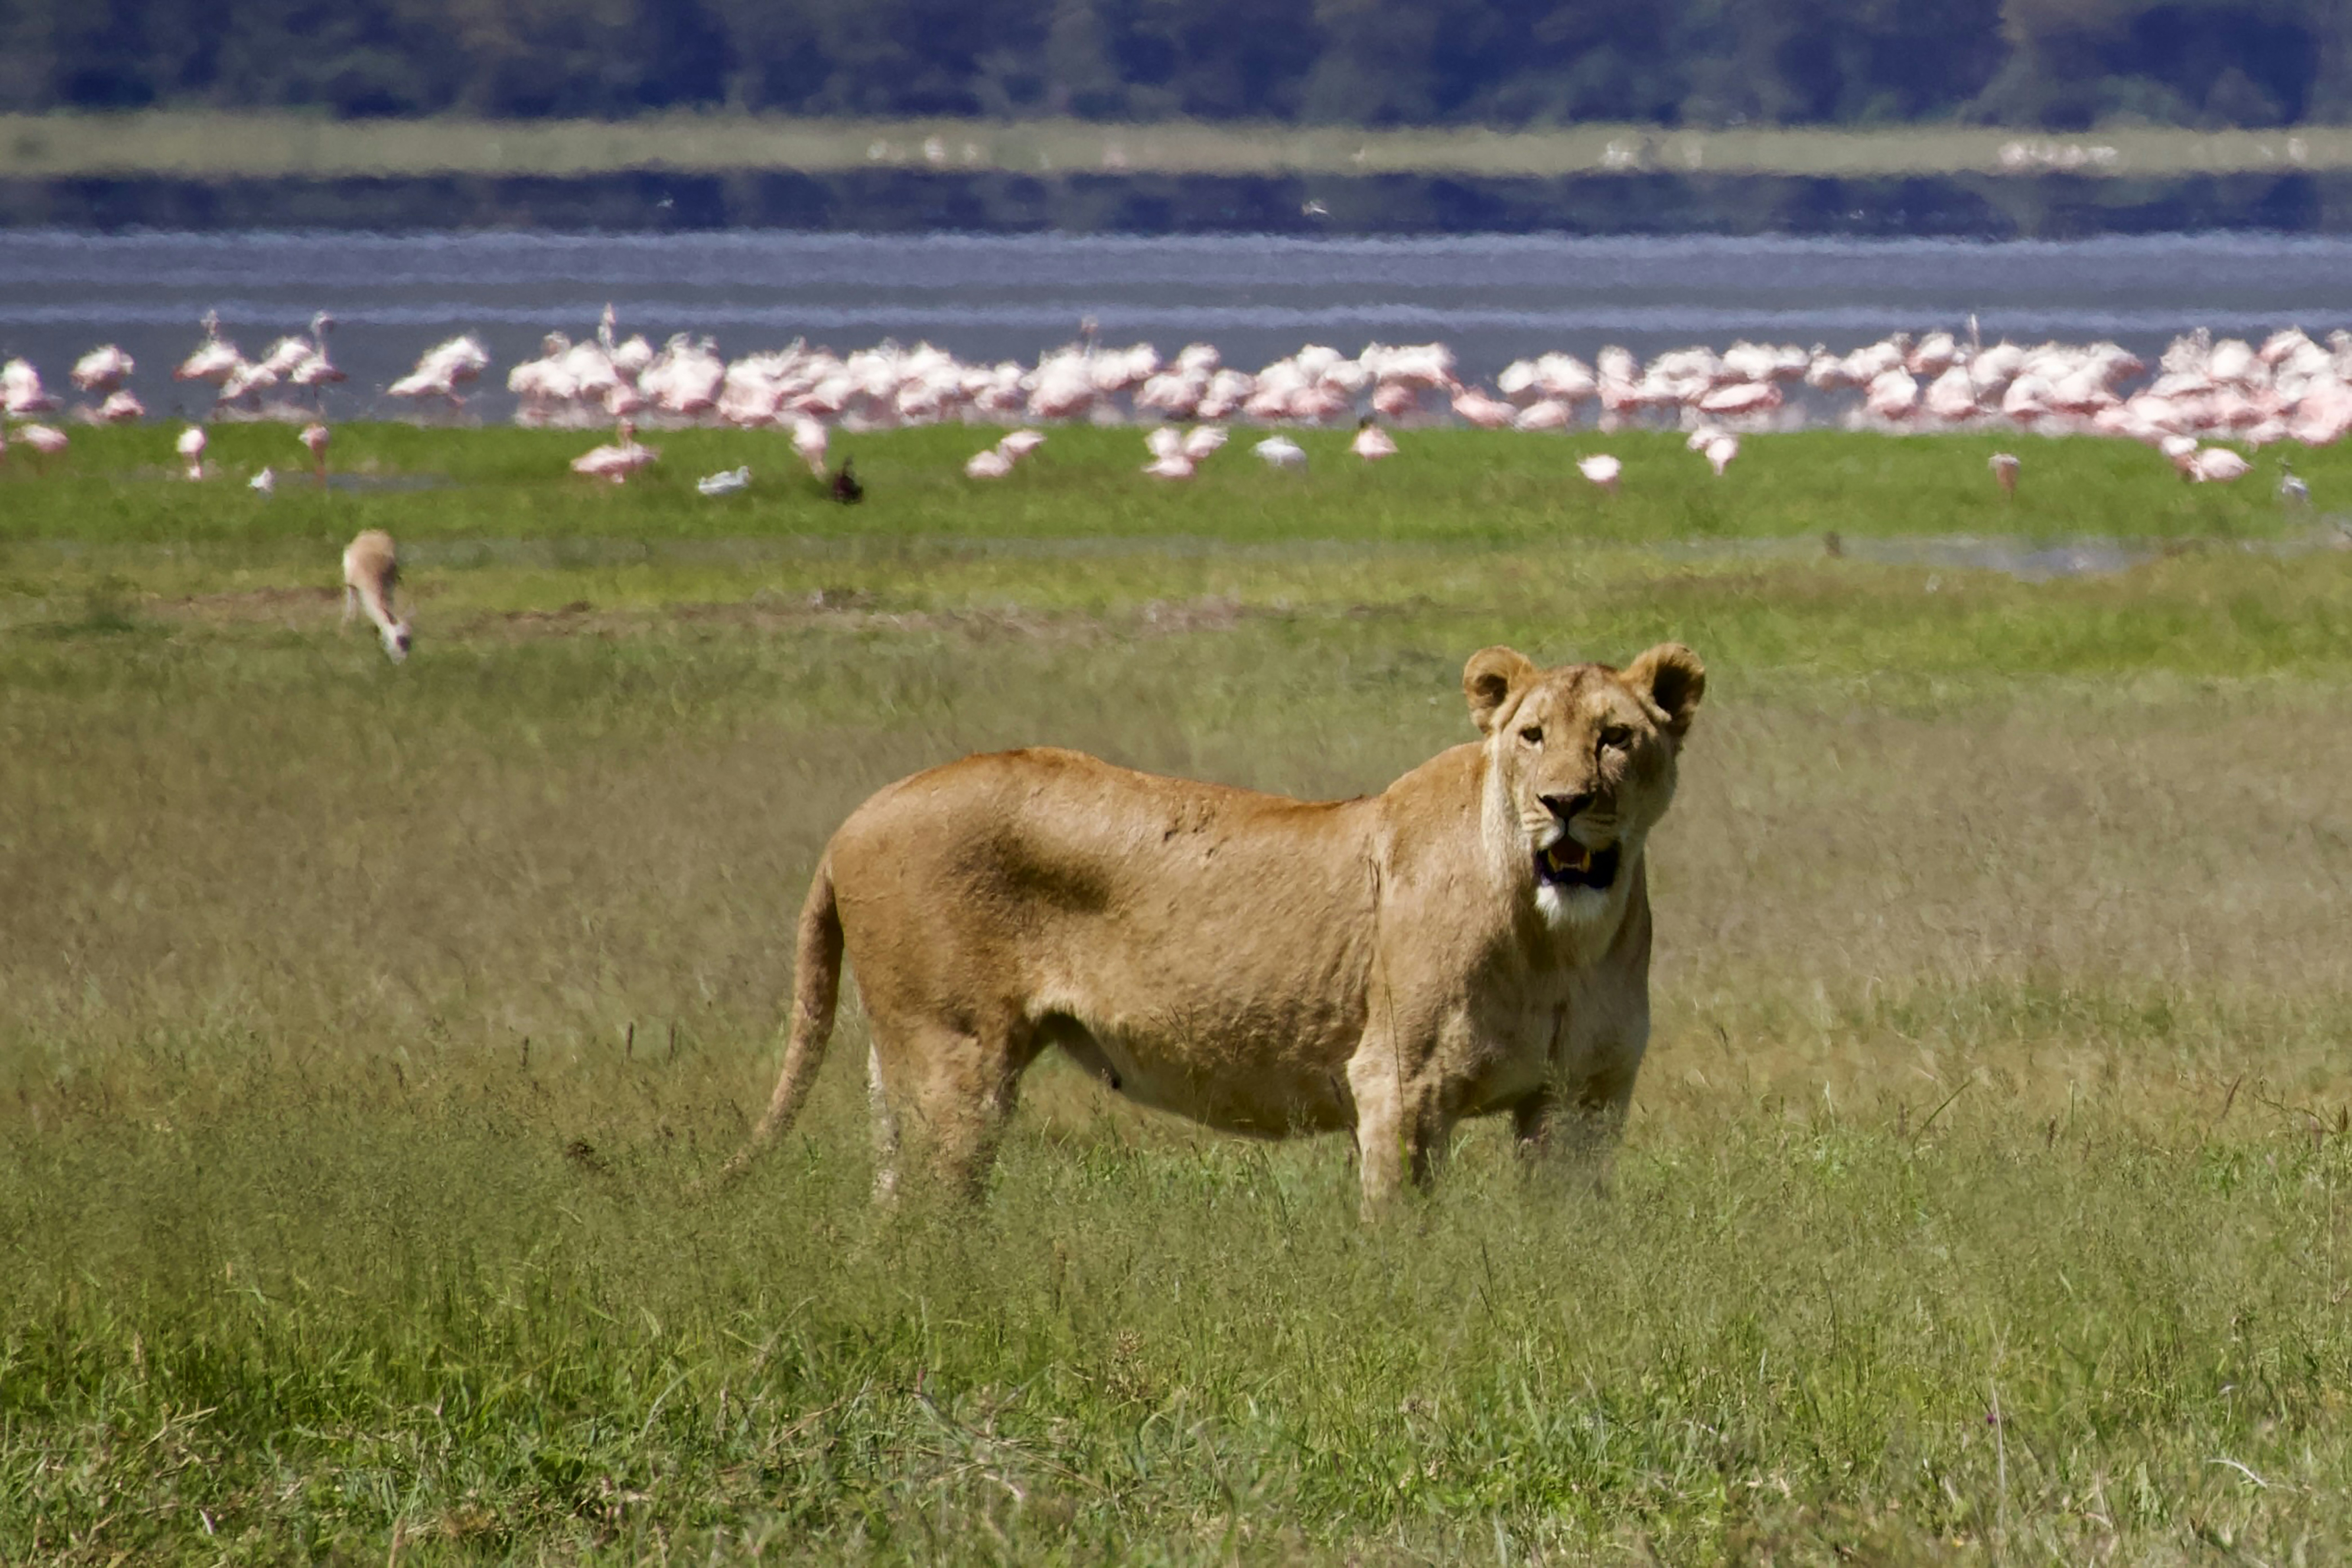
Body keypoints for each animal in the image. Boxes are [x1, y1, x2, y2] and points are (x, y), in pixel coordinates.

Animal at [721, 642, 1704, 1212]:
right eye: (1531, 736)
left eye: (1615, 737)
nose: (1563, 804)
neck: (1561, 940)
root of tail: (857, 816)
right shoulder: (1400, 1082)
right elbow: (1403, 1229)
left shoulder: (1582, 1099)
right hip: (953, 1057)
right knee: (935, 1209)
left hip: (903, 1064)